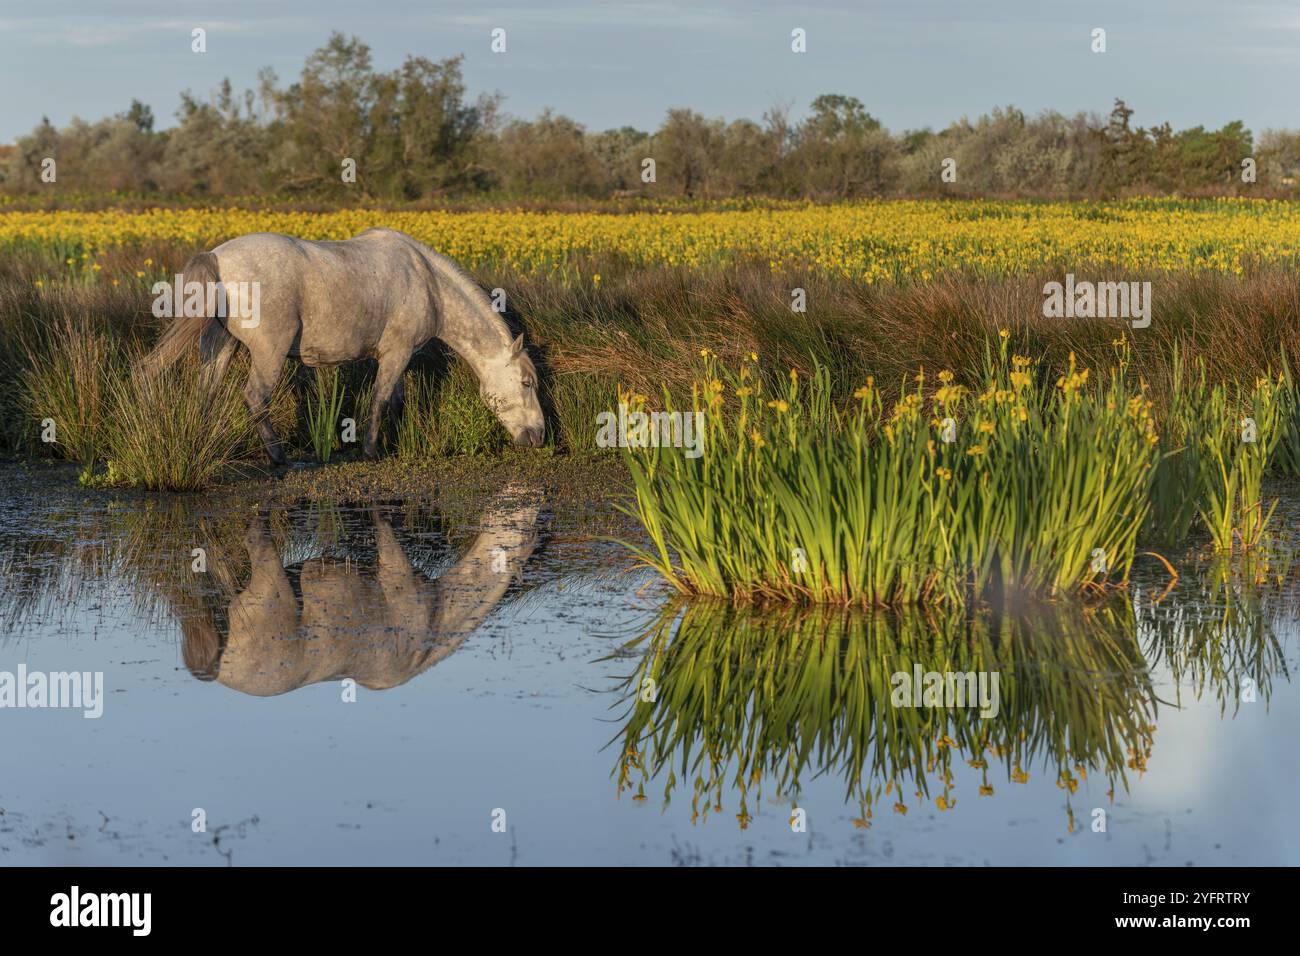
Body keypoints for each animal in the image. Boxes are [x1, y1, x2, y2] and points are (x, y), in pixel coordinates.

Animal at [146, 226, 543, 463]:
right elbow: (380, 400)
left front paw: (392, 443)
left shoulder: (396, 357)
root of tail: (217, 257)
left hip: (220, 344)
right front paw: (370, 450)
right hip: (268, 352)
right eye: (526, 383)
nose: (539, 435)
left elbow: (395, 401)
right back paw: (279, 457)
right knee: (255, 397)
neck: (428, 282)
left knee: (206, 393)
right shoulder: (396, 354)